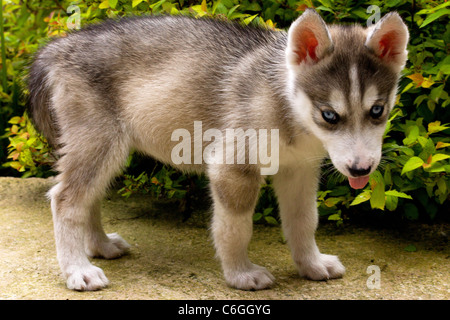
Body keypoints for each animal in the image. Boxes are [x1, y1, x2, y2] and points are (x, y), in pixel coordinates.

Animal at [28, 9, 408, 290]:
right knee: (66, 199)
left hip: (110, 150)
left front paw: (311, 265)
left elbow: (304, 221)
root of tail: (57, 47)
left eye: (377, 111)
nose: (361, 170)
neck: (285, 103)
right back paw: (78, 269)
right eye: (329, 115)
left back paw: (100, 246)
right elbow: (236, 229)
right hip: (98, 141)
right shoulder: (233, 167)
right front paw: (241, 274)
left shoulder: (299, 170)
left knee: (88, 197)